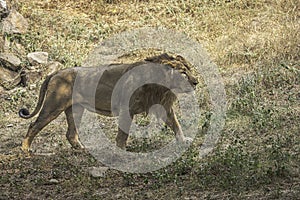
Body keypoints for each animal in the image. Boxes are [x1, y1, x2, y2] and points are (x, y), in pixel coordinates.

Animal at [18, 53, 197, 152]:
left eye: (190, 70)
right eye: (183, 73)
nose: (196, 82)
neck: (161, 87)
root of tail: (55, 73)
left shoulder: (163, 107)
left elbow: (176, 124)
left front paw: (183, 141)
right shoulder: (126, 109)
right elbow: (123, 134)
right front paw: (122, 150)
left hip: (75, 109)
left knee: (70, 133)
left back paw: (82, 150)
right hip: (53, 106)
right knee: (33, 125)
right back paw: (25, 150)